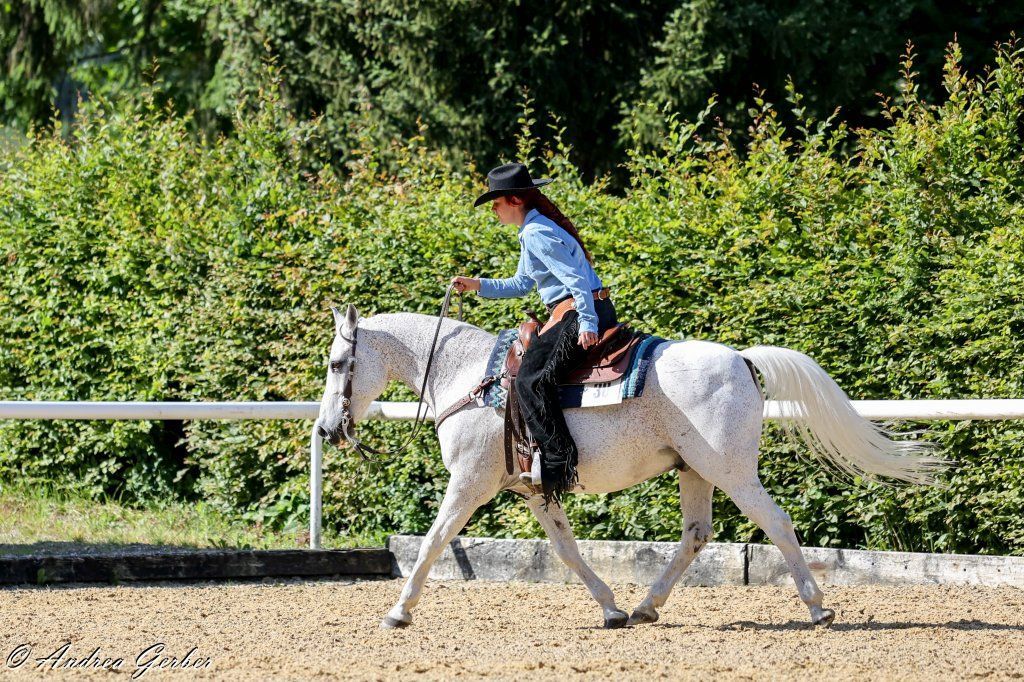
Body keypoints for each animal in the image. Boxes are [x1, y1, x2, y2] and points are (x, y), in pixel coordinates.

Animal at [315, 303, 944, 630]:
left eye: (340, 362)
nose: (325, 430)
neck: (472, 378)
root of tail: (741, 358)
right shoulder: (535, 490)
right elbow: (567, 550)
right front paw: (612, 606)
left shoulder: (469, 483)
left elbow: (432, 541)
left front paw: (398, 611)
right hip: (695, 471)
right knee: (696, 534)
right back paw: (645, 606)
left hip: (733, 471)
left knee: (778, 523)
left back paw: (817, 608)